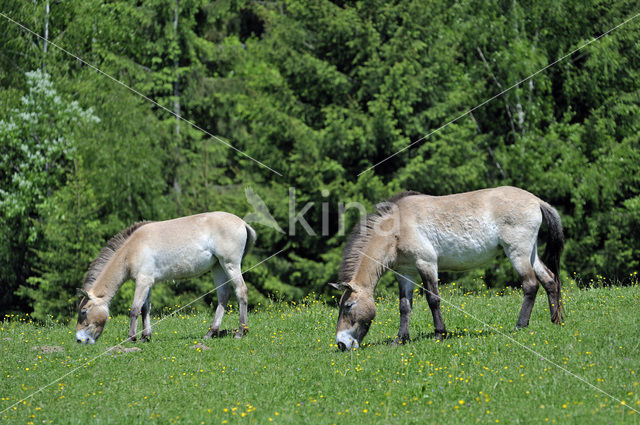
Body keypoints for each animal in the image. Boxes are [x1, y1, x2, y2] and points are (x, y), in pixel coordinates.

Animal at [75, 210, 255, 342]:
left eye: (84, 311)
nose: (79, 339)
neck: (131, 249)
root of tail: (243, 223)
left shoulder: (143, 281)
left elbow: (135, 309)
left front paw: (131, 337)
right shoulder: (148, 282)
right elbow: (145, 309)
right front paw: (145, 337)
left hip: (230, 265)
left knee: (241, 291)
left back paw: (241, 332)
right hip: (218, 267)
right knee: (223, 295)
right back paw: (211, 332)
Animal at [330, 187, 564, 350]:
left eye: (348, 306)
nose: (341, 344)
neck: (396, 227)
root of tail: (537, 201)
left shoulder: (426, 264)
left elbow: (433, 299)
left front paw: (439, 334)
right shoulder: (406, 273)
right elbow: (404, 306)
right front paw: (400, 339)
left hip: (517, 252)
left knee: (530, 285)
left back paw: (519, 326)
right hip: (530, 253)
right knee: (549, 280)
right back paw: (555, 320)